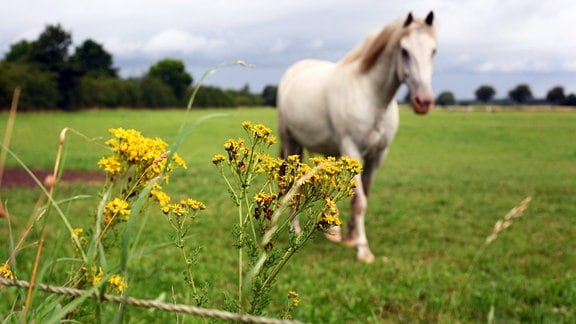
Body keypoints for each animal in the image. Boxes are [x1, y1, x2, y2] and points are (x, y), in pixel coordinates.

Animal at [280, 11, 436, 264]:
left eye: (433, 51)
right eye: (404, 50)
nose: (423, 101)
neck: (371, 97)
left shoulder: (377, 157)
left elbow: (363, 196)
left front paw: (350, 236)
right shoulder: (352, 150)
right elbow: (359, 200)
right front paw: (362, 248)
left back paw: (331, 231)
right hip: (290, 142)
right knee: (293, 183)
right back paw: (295, 228)